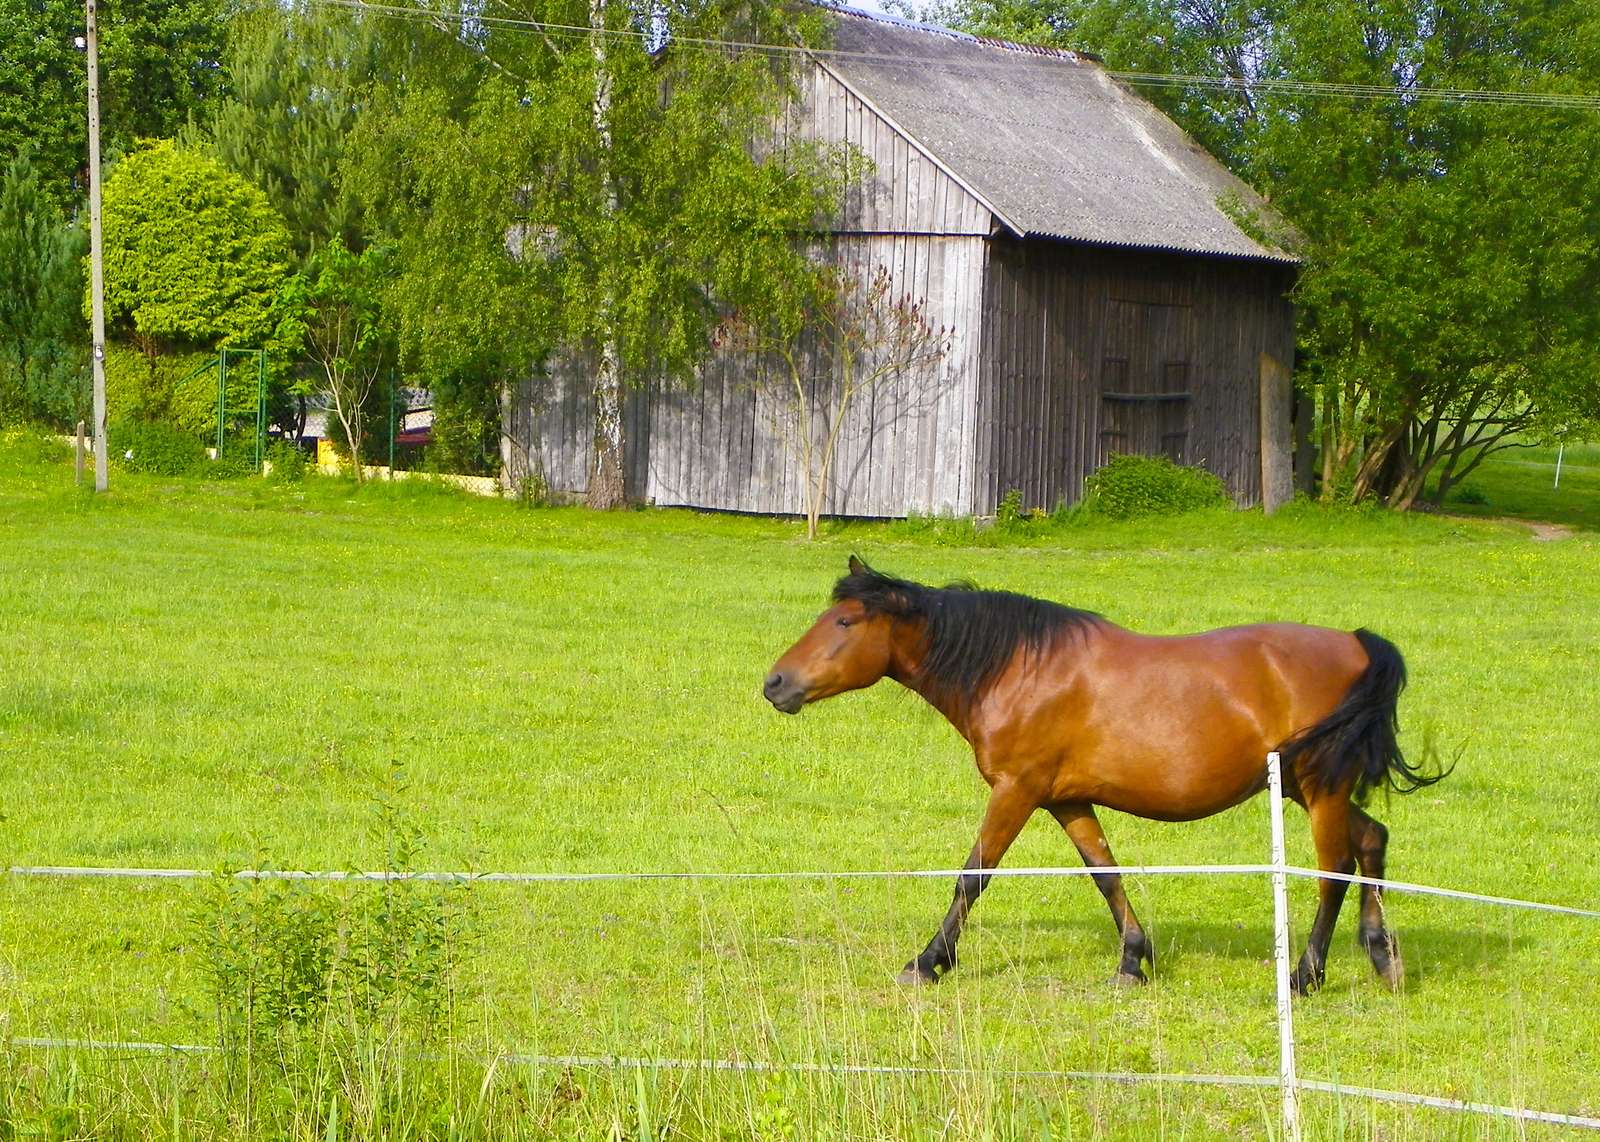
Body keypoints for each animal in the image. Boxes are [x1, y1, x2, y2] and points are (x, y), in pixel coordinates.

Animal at [763, 556, 1447, 993]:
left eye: (845, 623)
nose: (775, 682)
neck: (1018, 667)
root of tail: (1355, 641)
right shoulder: (1067, 801)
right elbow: (1106, 874)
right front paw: (1132, 960)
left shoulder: (1016, 792)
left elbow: (972, 876)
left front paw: (929, 962)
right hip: (1311, 789)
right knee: (1371, 840)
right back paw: (1383, 956)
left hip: (1319, 788)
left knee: (1334, 870)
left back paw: (1306, 975)